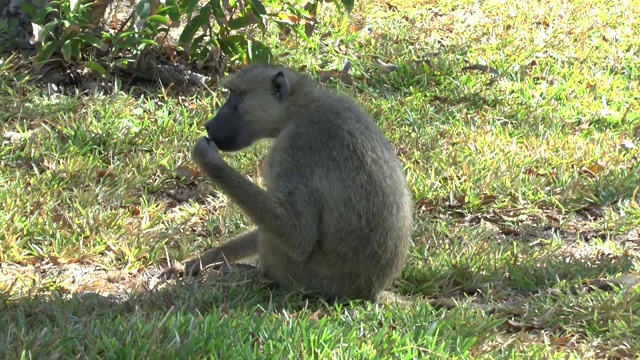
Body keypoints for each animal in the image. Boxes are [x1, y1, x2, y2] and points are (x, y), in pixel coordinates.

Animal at [164, 64, 416, 300]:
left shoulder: (292, 149)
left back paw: (252, 276)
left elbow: (299, 238)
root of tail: (369, 292)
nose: (209, 125)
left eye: (236, 94)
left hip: (306, 279)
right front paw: (207, 259)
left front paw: (209, 160)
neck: (298, 107)